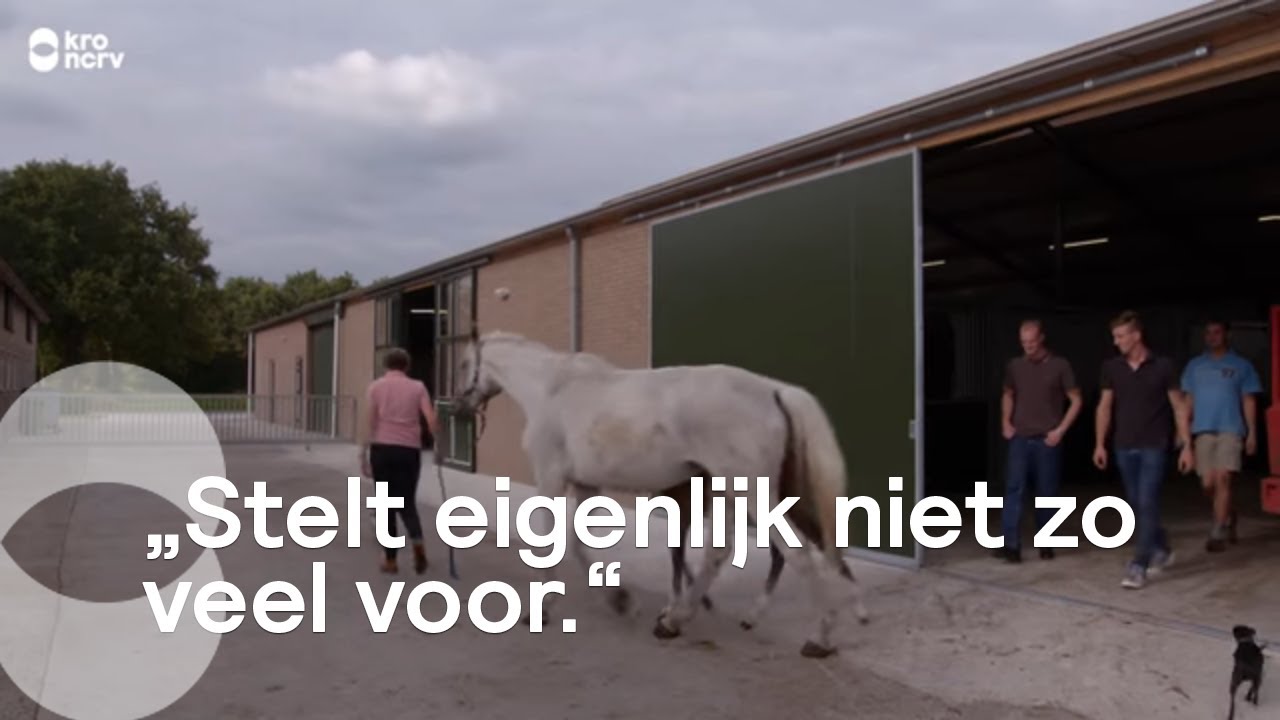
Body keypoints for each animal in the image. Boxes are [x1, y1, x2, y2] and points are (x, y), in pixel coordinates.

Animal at [450, 330, 868, 658]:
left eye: (464, 363)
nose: (458, 404)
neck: (553, 388)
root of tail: (772, 390)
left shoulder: (550, 479)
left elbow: (556, 541)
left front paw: (541, 610)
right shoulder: (585, 485)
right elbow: (579, 541)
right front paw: (620, 601)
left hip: (752, 494)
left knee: (795, 553)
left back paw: (819, 638)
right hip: (734, 494)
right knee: (722, 553)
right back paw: (675, 620)